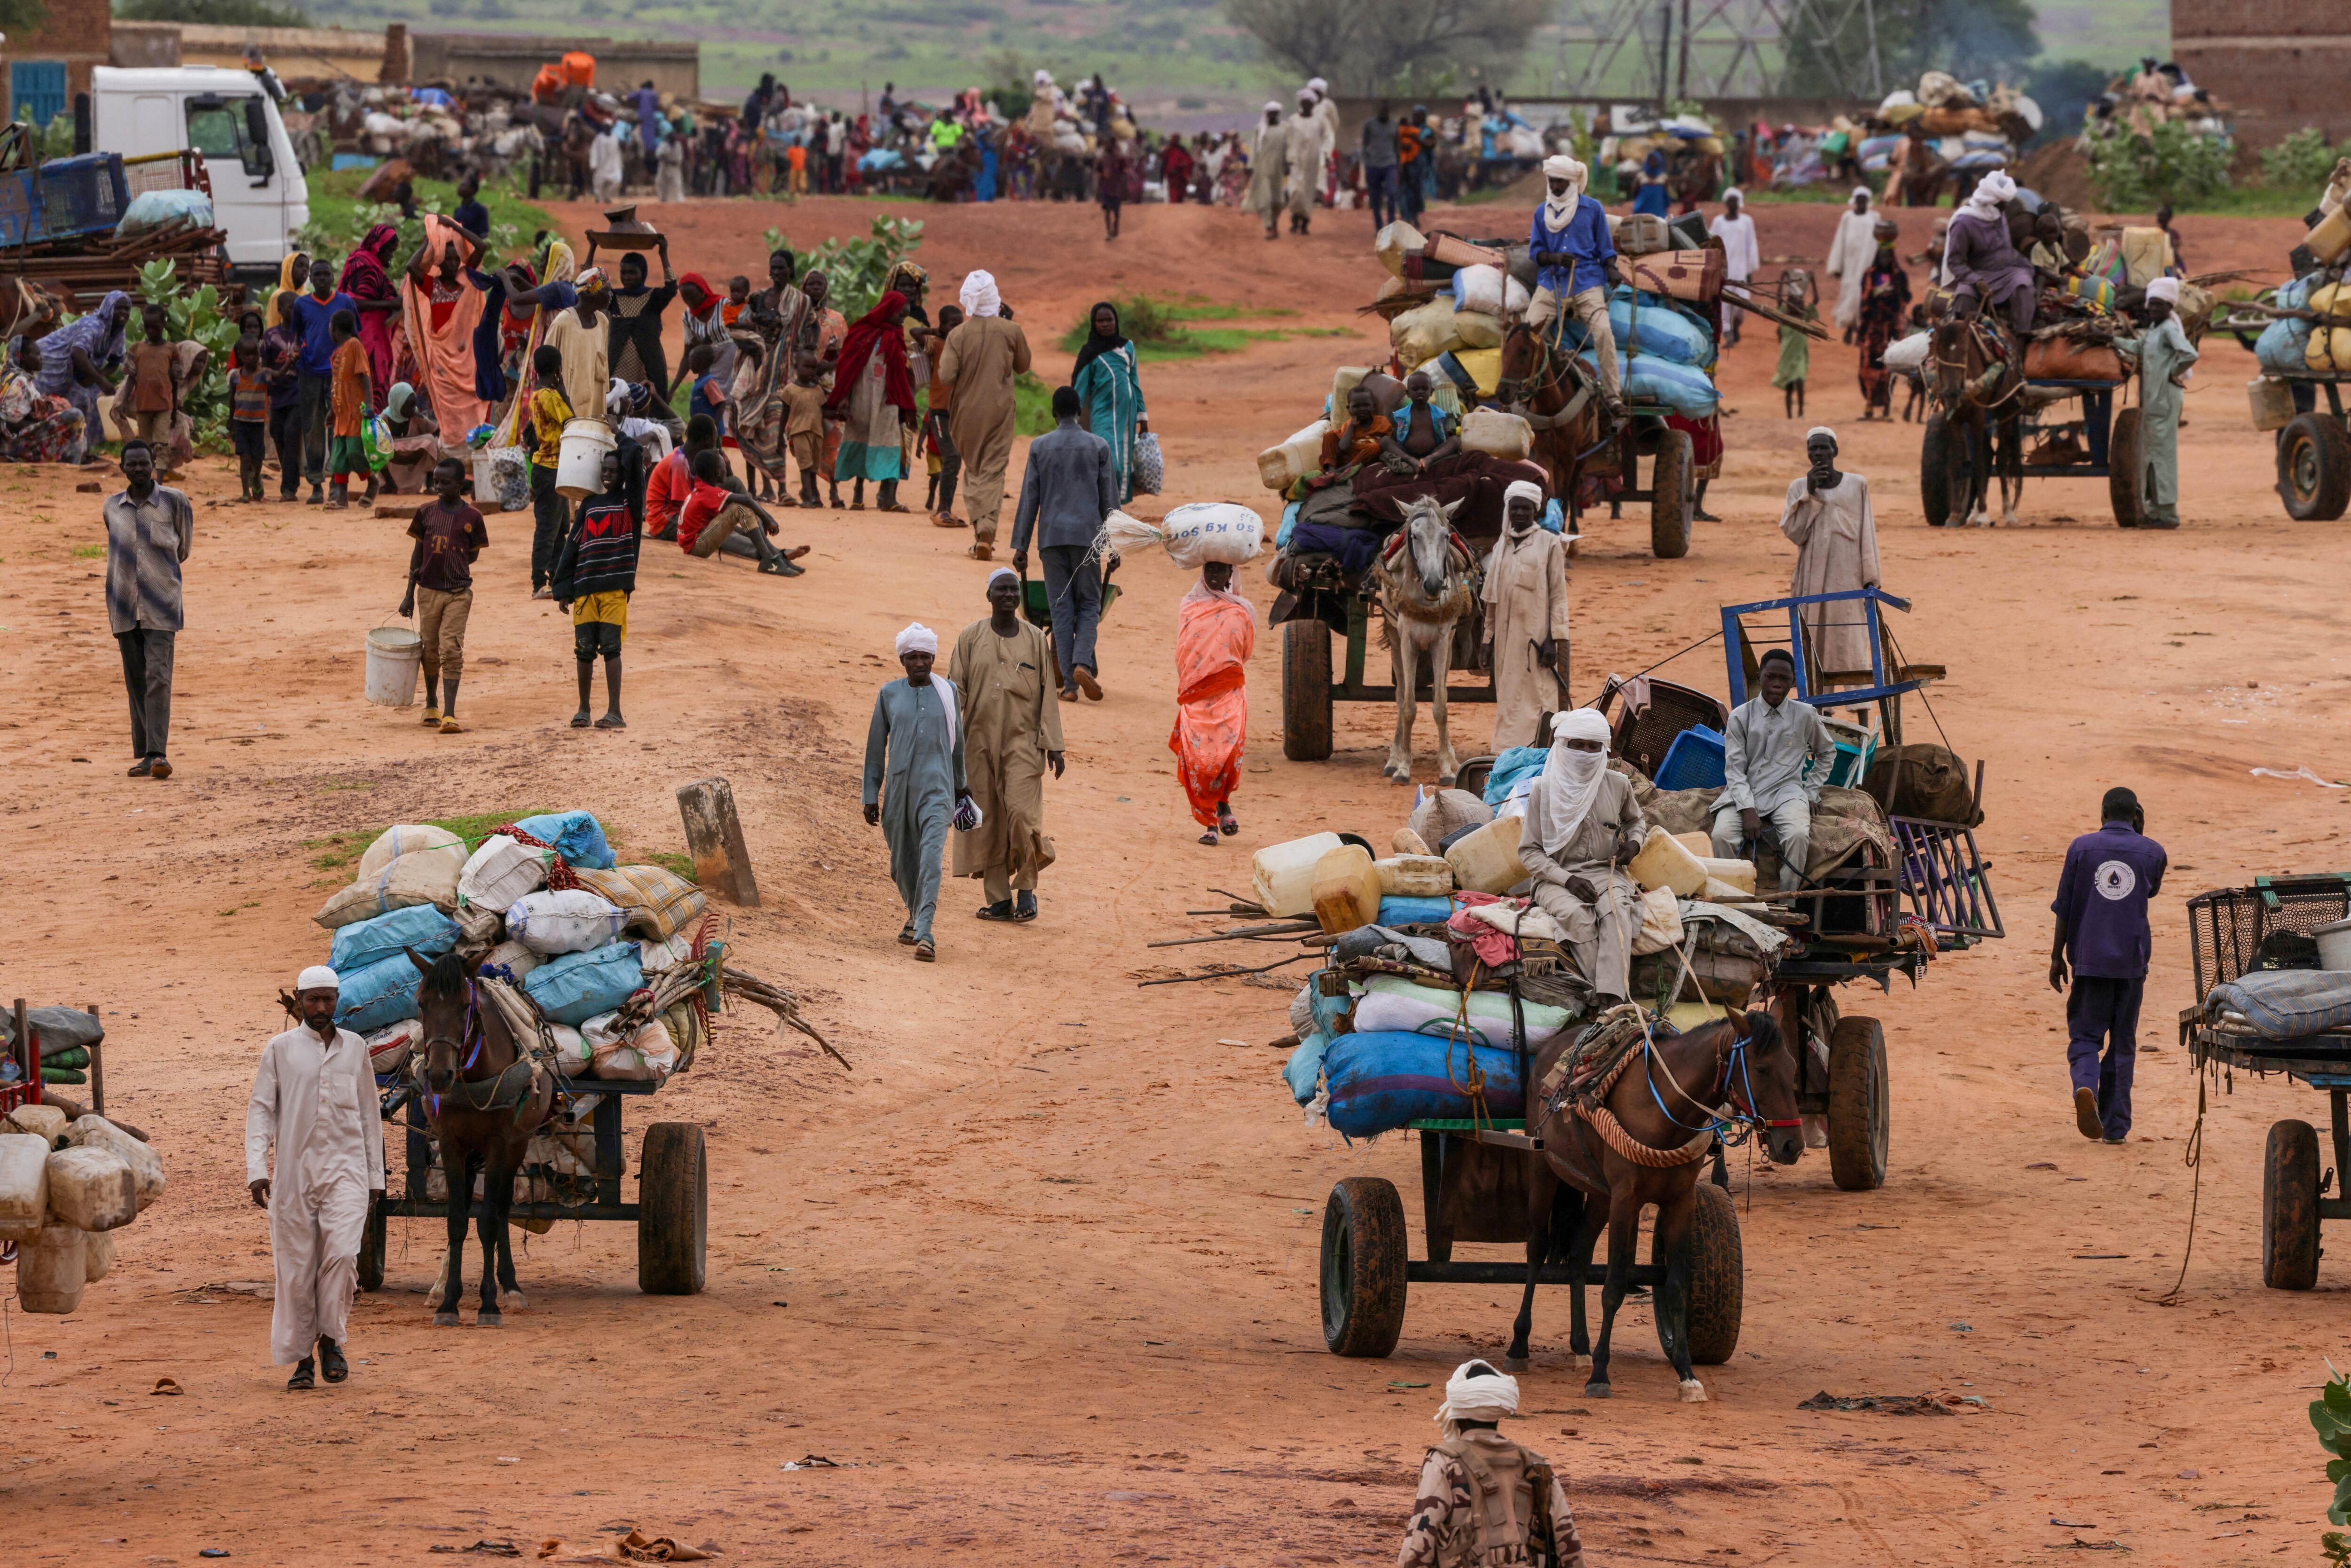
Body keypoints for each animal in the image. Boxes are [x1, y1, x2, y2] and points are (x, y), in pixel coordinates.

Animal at [404, 950, 555, 1335]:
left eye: (464, 1006)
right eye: (422, 1004)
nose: (439, 1075)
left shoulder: (499, 1142)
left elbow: (487, 1220)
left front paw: (489, 1304)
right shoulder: (450, 1141)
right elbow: (457, 1219)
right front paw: (449, 1304)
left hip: (518, 1144)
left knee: (500, 1209)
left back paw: (511, 1287)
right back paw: (443, 1286)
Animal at [1373, 496, 1476, 785]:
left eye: (1446, 536)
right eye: (1415, 536)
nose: (1433, 584)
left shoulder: (1441, 643)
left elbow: (1441, 705)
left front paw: (1447, 769)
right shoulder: (1407, 641)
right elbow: (1408, 706)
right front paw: (1403, 768)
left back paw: (1452, 758)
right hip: (1395, 640)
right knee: (1400, 695)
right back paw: (1393, 759)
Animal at [1505, 1011, 1796, 1401]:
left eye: (1793, 1067)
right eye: (1762, 1069)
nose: (1793, 1144)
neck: (1662, 1109)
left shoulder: (1681, 1201)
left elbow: (1675, 1287)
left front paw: (1687, 1374)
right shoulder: (1627, 1199)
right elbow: (1614, 1286)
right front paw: (1601, 1374)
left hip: (1600, 1194)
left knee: (1579, 1255)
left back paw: (1581, 1346)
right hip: (1544, 1168)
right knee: (1536, 1249)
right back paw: (1520, 1344)